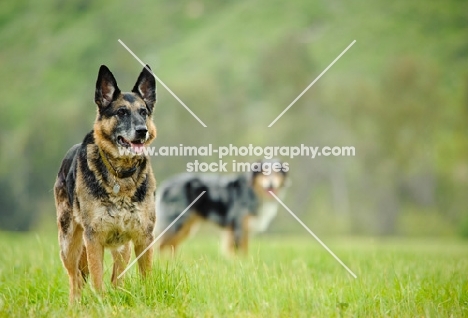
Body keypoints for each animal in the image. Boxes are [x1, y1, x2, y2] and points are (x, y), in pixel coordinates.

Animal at [54, 65, 157, 304]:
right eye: (121, 112)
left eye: (143, 112)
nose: (142, 131)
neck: (121, 175)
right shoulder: (94, 238)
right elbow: (97, 279)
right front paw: (100, 304)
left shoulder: (143, 237)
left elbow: (146, 275)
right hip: (69, 244)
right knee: (75, 279)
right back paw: (75, 305)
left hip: (122, 247)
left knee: (116, 278)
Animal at [155, 159, 288, 256]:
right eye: (264, 172)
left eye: (277, 172)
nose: (271, 184)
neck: (253, 191)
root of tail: (166, 185)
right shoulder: (238, 227)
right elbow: (238, 252)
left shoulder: (244, 230)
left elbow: (245, 251)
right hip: (176, 223)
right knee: (160, 245)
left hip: (185, 227)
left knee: (171, 246)